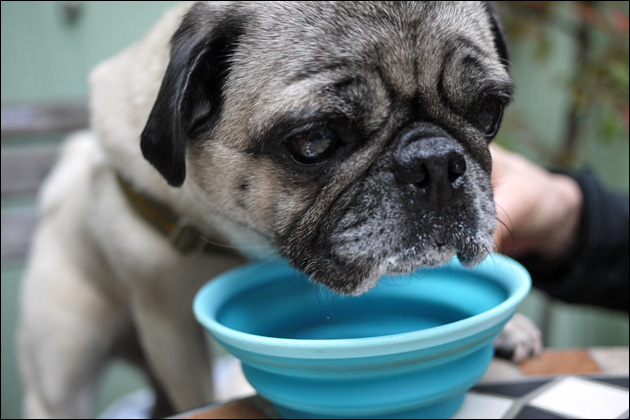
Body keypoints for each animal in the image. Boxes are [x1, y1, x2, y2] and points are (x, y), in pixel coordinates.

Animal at [21, 1, 544, 418]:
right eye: (313, 141)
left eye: (488, 113)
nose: (435, 162)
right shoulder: (167, 323)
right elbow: (196, 394)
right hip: (66, 357)